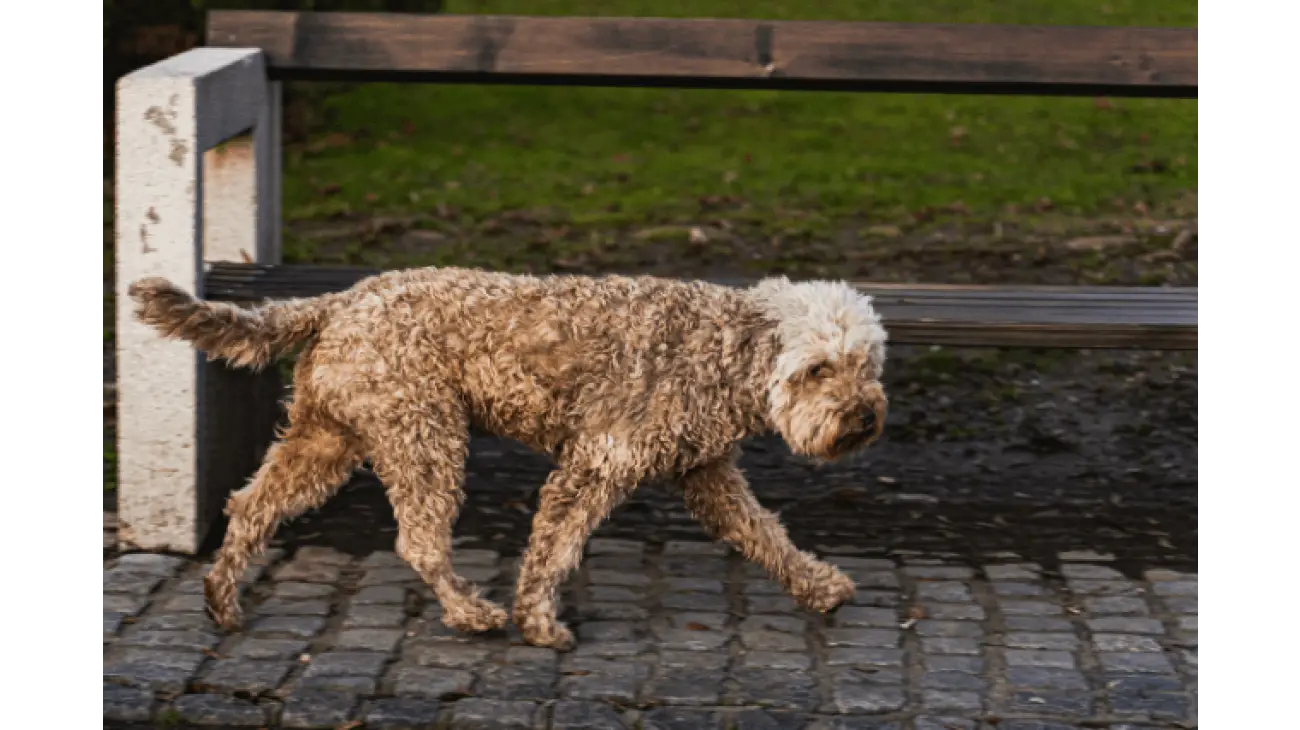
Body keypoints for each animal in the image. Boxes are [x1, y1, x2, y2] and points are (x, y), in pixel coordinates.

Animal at [129, 263, 883, 644]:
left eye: (867, 363)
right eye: (819, 368)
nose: (865, 416)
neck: (723, 352)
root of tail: (339, 301)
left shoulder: (706, 473)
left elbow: (765, 535)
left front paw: (818, 585)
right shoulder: (596, 463)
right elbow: (554, 547)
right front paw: (539, 623)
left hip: (326, 441)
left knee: (249, 506)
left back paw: (222, 600)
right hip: (424, 434)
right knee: (419, 541)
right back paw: (470, 613)